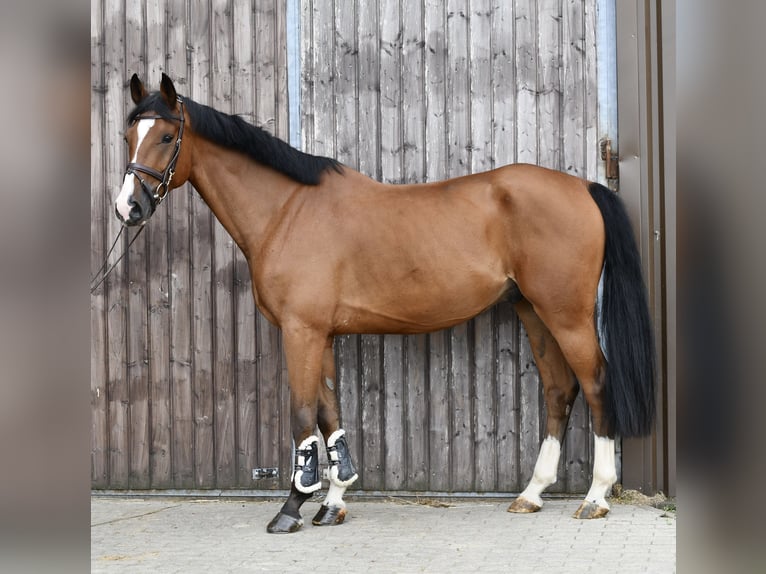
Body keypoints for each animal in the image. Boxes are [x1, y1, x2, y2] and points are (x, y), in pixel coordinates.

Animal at [114, 73, 655, 533]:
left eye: (167, 137)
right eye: (128, 135)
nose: (128, 208)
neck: (287, 211)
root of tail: (584, 186)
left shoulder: (301, 331)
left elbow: (302, 415)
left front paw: (291, 508)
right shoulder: (321, 335)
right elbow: (330, 417)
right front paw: (332, 505)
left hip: (566, 314)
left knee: (596, 384)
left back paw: (596, 497)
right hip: (532, 311)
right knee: (559, 390)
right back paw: (532, 493)